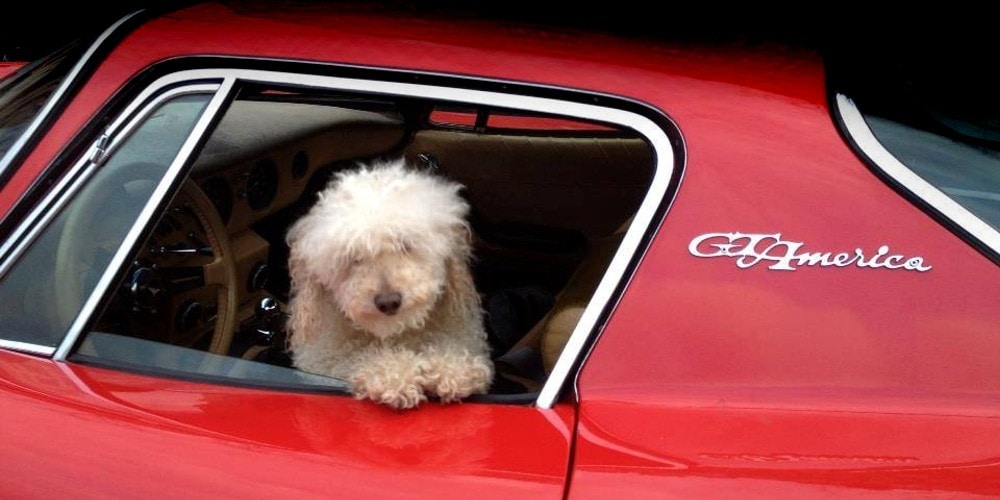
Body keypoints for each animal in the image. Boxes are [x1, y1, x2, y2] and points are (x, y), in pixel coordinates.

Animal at [285, 158, 493, 409]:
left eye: (405, 244)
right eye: (353, 256)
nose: (388, 302)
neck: (397, 334)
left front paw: (451, 368)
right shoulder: (325, 360)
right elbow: (358, 359)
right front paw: (395, 375)